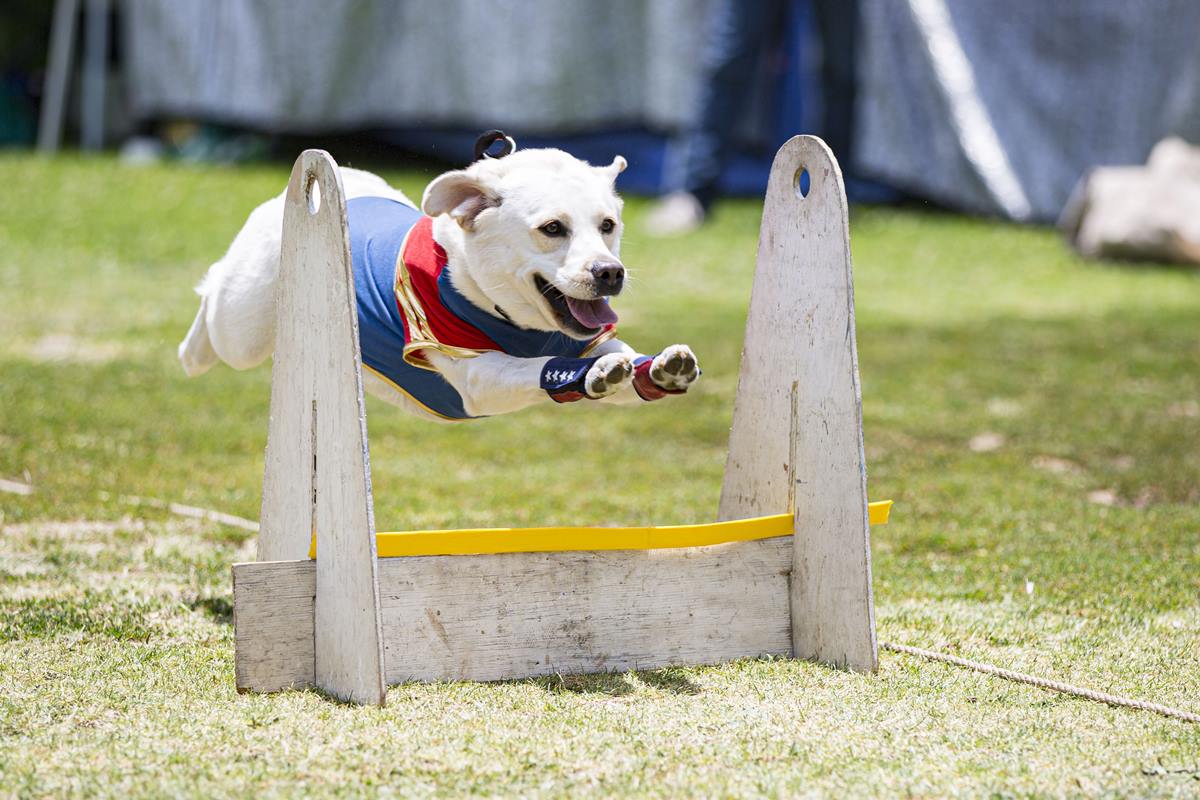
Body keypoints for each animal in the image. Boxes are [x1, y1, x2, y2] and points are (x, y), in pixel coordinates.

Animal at [181, 143, 700, 422]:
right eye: (553, 228)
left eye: (608, 225)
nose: (609, 272)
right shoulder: (475, 374)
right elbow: (537, 368)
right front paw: (590, 373)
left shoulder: (589, 338)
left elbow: (625, 360)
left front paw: (659, 368)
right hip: (243, 323)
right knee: (216, 306)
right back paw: (192, 352)